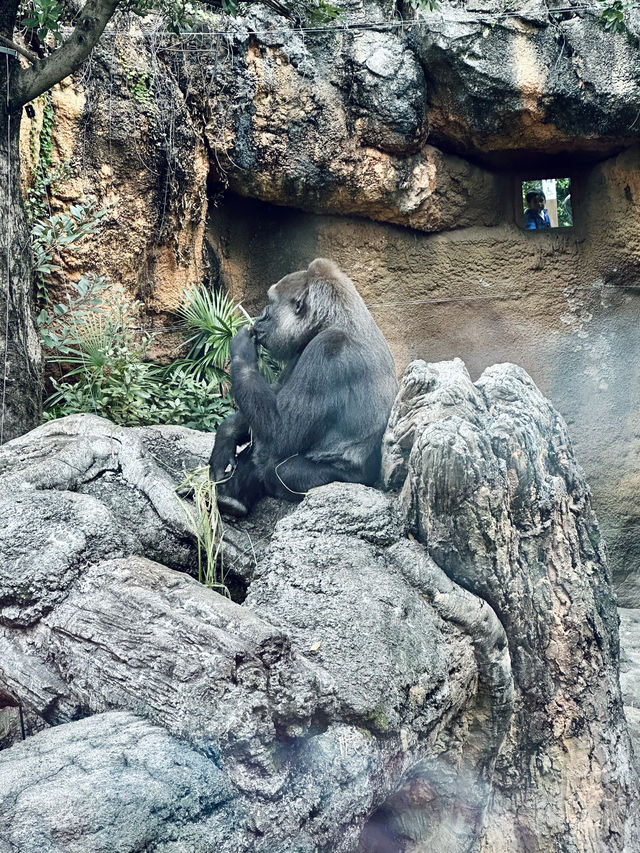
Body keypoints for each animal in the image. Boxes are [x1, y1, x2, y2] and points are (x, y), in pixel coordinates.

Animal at [210, 256, 398, 516]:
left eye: (271, 303)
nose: (261, 316)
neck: (332, 319)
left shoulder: (327, 351)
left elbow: (283, 431)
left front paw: (242, 352)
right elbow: (272, 401)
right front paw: (228, 433)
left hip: (347, 479)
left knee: (277, 466)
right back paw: (231, 500)